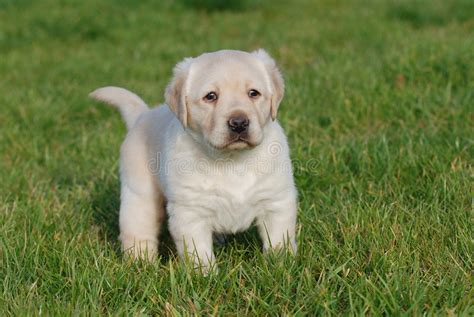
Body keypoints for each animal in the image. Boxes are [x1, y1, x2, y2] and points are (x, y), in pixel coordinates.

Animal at [90, 48, 298, 270]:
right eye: (211, 96)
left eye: (253, 93)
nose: (239, 123)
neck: (232, 159)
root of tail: (143, 115)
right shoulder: (190, 212)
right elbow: (198, 250)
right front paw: (205, 274)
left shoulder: (276, 200)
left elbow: (279, 238)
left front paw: (282, 264)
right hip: (139, 193)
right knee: (138, 229)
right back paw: (141, 263)